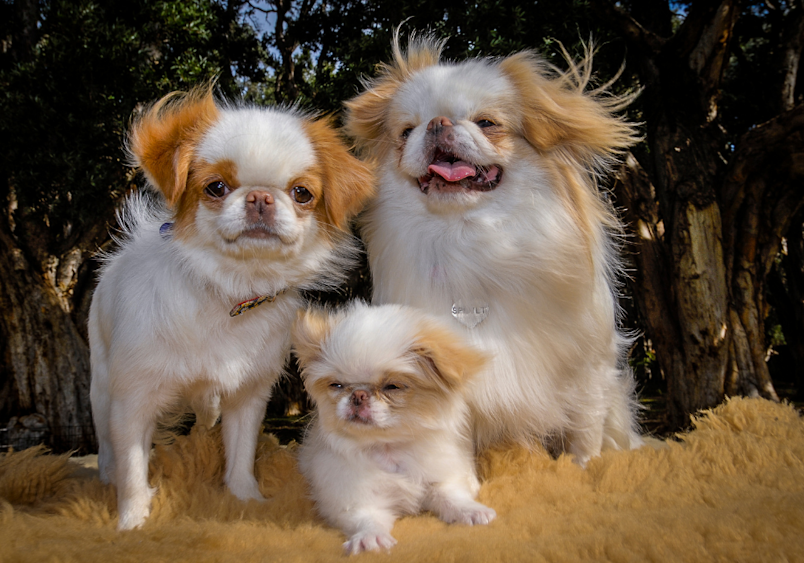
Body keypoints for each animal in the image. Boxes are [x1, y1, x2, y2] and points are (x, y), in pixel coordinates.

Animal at [86, 87, 376, 528]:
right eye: (216, 187)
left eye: (302, 193)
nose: (259, 197)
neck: (231, 290)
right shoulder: (133, 398)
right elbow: (133, 466)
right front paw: (132, 521)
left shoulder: (248, 397)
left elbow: (241, 455)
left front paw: (245, 500)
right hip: (102, 388)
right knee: (105, 443)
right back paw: (105, 478)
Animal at [296, 302, 496, 556]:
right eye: (337, 385)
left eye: (392, 386)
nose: (358, 395)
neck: (389, 448)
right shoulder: (355, 499)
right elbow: (367, 518)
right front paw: (369, 539)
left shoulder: (441, 478)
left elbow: (452, 495)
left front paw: (472, 511)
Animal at [342, 34, 644, 468]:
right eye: (406, 131)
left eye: (486, 123)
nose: (438, 123)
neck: (470, 238)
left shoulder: (588, 372)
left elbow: (583, 440)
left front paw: (583, 471)